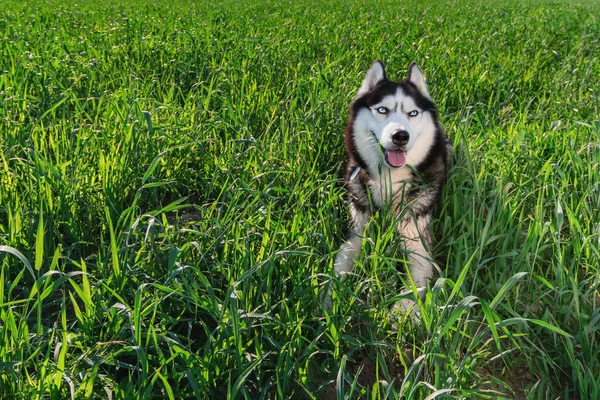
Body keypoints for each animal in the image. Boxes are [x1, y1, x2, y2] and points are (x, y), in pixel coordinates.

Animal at [332, 60, 450, 316]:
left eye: (413, 113)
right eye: (382, 110)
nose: (400, 136)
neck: (389, 179)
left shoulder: (417, 239)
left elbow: (414, 283)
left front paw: (400, 314)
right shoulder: (358, 230)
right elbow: (340, 264)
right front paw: (328, 298)